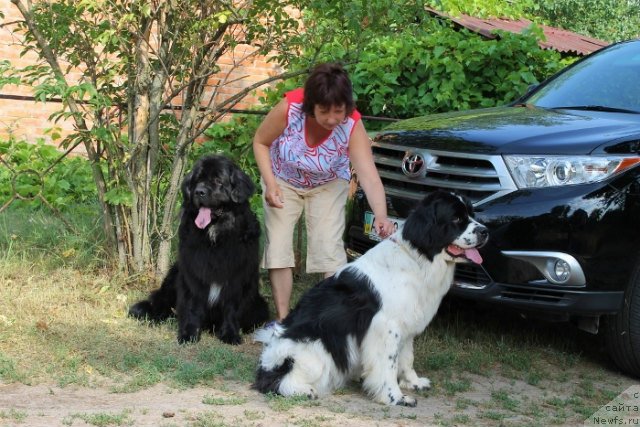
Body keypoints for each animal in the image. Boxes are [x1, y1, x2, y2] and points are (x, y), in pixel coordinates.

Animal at [129, 155, 268, 346]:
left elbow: (231, 307)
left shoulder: (236, 276)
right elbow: (192, 305)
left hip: (261, 306)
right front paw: (188, 334)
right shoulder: (193, 273)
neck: (215, 236)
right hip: (173, 276)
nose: (199, 192)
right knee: (161, 302)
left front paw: (230, 334)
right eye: (197, 180)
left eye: (218, 181)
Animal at [252, 191, 488, 408]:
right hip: (316, 351)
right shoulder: (386, 329)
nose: (485, 231)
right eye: (456, 219)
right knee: (272, 381)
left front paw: (413, 382)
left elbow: (407, 358)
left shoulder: (406, 326)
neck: (417, 258)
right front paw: (396, 397)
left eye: (472, 214)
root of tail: (268, 356)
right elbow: (389, 365)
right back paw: (303, 390)